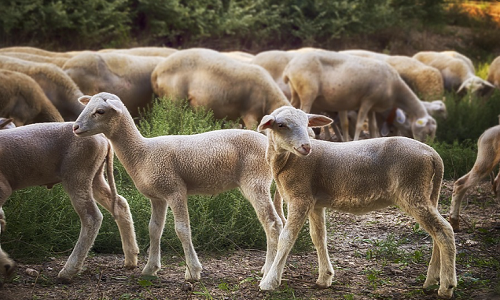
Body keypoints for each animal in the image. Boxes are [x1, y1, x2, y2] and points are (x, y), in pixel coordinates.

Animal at [0, 120, 139, 282]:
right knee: (120, 204)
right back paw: (131, 258)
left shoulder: (3, 186)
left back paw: (68, 271)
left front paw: (6, 265)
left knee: (91, 217)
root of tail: (103, 139)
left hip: (78, 172)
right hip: (95, 175)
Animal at [73, 92, 286, 282]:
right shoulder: (157, 197)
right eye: (87, 106)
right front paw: (150, 269)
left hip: (255, 181)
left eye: (100, 111)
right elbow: (154, 229)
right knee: (278, 222)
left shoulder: (175, 190)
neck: (142, 153)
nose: (75, 127)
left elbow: (182, 229)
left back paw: (268, 270)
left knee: (272, 223)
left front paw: (193, 271)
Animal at [258, 105, 458, 298]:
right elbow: (319, 237)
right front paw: (324, 278)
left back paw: (446, 286)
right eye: (281, 125)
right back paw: (431, 281)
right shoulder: (314, 202)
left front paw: (269, 282)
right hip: (426, 193)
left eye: (307, 124)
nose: (306, 147)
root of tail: (433, 154)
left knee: (444, 231)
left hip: (412, 190)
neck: (287, 161)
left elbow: (286, 238)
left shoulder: (300, 198)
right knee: (436, 233)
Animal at [284, 50, 436, 142]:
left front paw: (374, 139)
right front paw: (356, 140)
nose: (428, 144)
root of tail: (289, 67)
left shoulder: (373, 106)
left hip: (296, 93)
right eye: (428, 132)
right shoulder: (367, 100)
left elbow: (373, 126)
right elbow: (358, 125)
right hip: (307, 93)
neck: (396, 88)